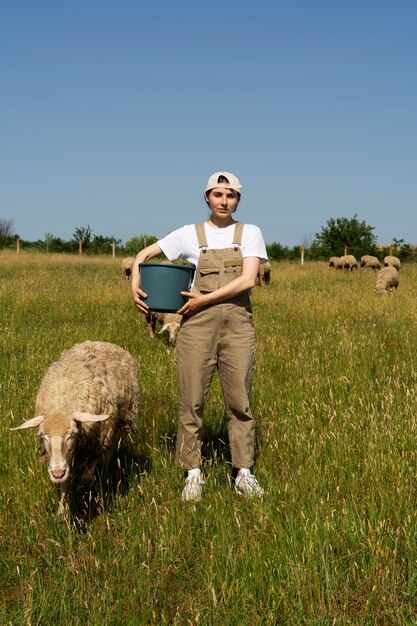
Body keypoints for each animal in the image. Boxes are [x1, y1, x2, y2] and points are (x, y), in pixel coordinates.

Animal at [10, 342, 138, 512]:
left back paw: (103, 478)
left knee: (107, 455)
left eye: (72, 434)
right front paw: (62, 512)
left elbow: (86, 477)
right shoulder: (65, 458)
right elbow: (65, 482)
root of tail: (101, 342)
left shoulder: (96, 443)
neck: (63, 405)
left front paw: (88, 493)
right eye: (43, 436)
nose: (57, 473)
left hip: (116, 428)